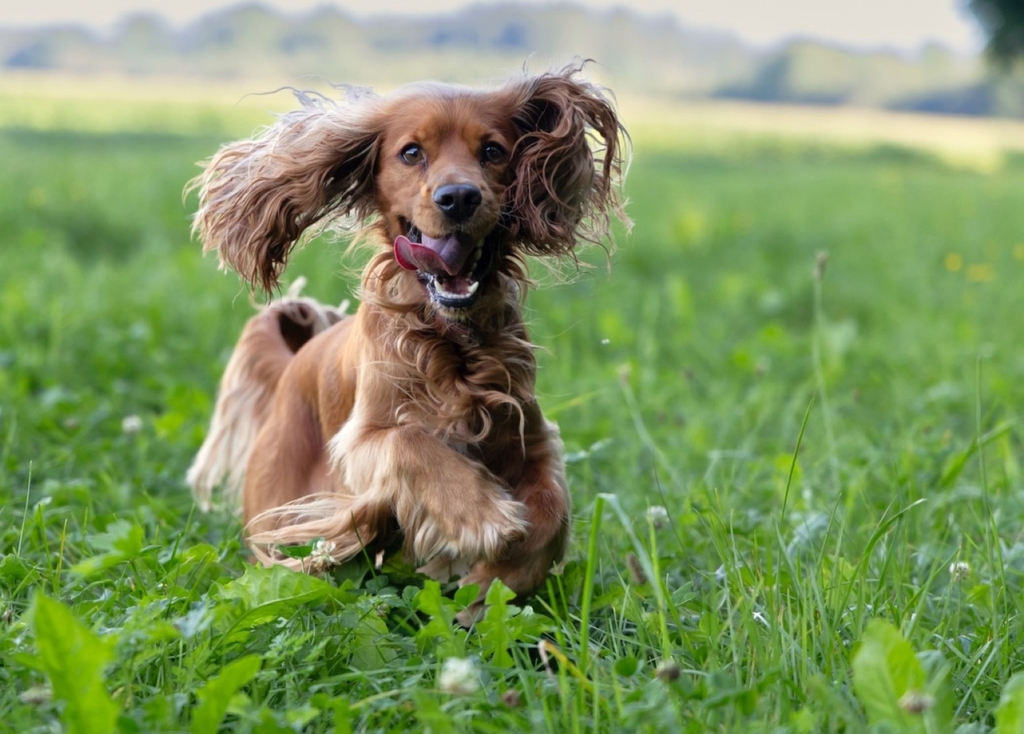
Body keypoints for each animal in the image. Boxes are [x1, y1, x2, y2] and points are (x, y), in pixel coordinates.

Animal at [188, 66, 626, 610]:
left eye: (493, 150)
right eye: (412, 152)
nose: (458, 197)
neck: (451, 340)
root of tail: (293, 361)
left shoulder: (530, 434)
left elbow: (551, 507)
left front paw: (494, 582)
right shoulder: (361, 442)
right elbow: (408, 439)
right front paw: (481, 514)